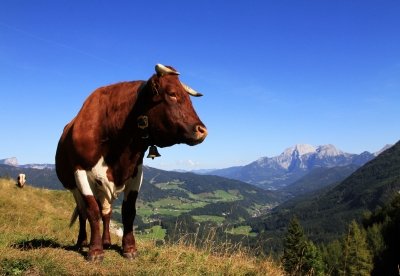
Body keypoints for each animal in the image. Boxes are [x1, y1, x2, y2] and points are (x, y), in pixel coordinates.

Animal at [54, 64, 208, 260]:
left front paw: (129, 248)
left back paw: (106, 241)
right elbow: (92, 212)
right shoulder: (80, 171)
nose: (202, 130)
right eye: (172, 94)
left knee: (106, 212)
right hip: (73, 186)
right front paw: (95, 251)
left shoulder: (135, 170)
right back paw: (82, 241)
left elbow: (128, 211)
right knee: (83, 212)